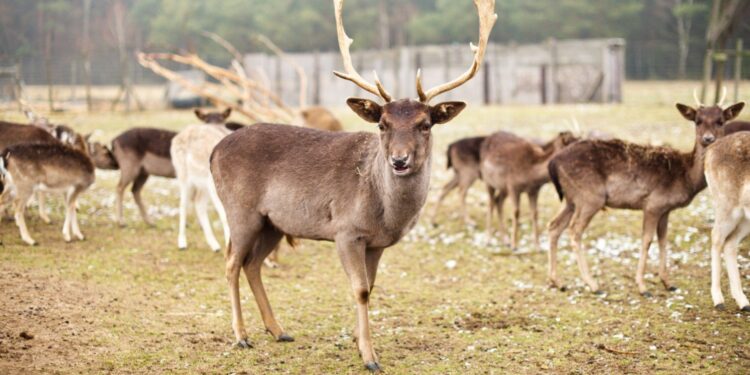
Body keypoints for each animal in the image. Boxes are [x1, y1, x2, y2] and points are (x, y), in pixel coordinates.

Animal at [173, 124, 234, 253]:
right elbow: (226, 218)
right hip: (184, 175)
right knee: (183, 204)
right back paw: (182, 243)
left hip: (203, 184)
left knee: (198, 203)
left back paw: (215, 245)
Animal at [209, 0, 496, 372]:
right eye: (383, 124)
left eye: (425, 124)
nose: (399, 160)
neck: (386, 214)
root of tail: (215, 151)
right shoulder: (346, 231)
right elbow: (359, 290)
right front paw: (370, 357)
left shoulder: (377, 243)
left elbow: (370, 288)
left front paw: (360, 344)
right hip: (240, 210)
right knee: (231, 262)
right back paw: (241, 335)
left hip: (273, 222)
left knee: (252, 264)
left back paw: (278, 329)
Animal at [548, 91, 748, 296]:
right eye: (697, 120)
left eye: (720, 121)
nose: (708, 139)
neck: (686, 177)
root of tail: (553, 162)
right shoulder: (653, 204)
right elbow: (647, 240)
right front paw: (643, 287)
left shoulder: (666, 209)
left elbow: (663, 240)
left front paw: (668, 282)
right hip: (590, 197)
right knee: (574, 230)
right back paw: (593, 285)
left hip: (571, 199)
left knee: (554, 226)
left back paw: (558, 281)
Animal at [704, 131, 750, 312]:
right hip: (726, 206)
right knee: (716, 236)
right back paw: (718, 299)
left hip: (744, 217)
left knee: (730, 243)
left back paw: (743, 301)